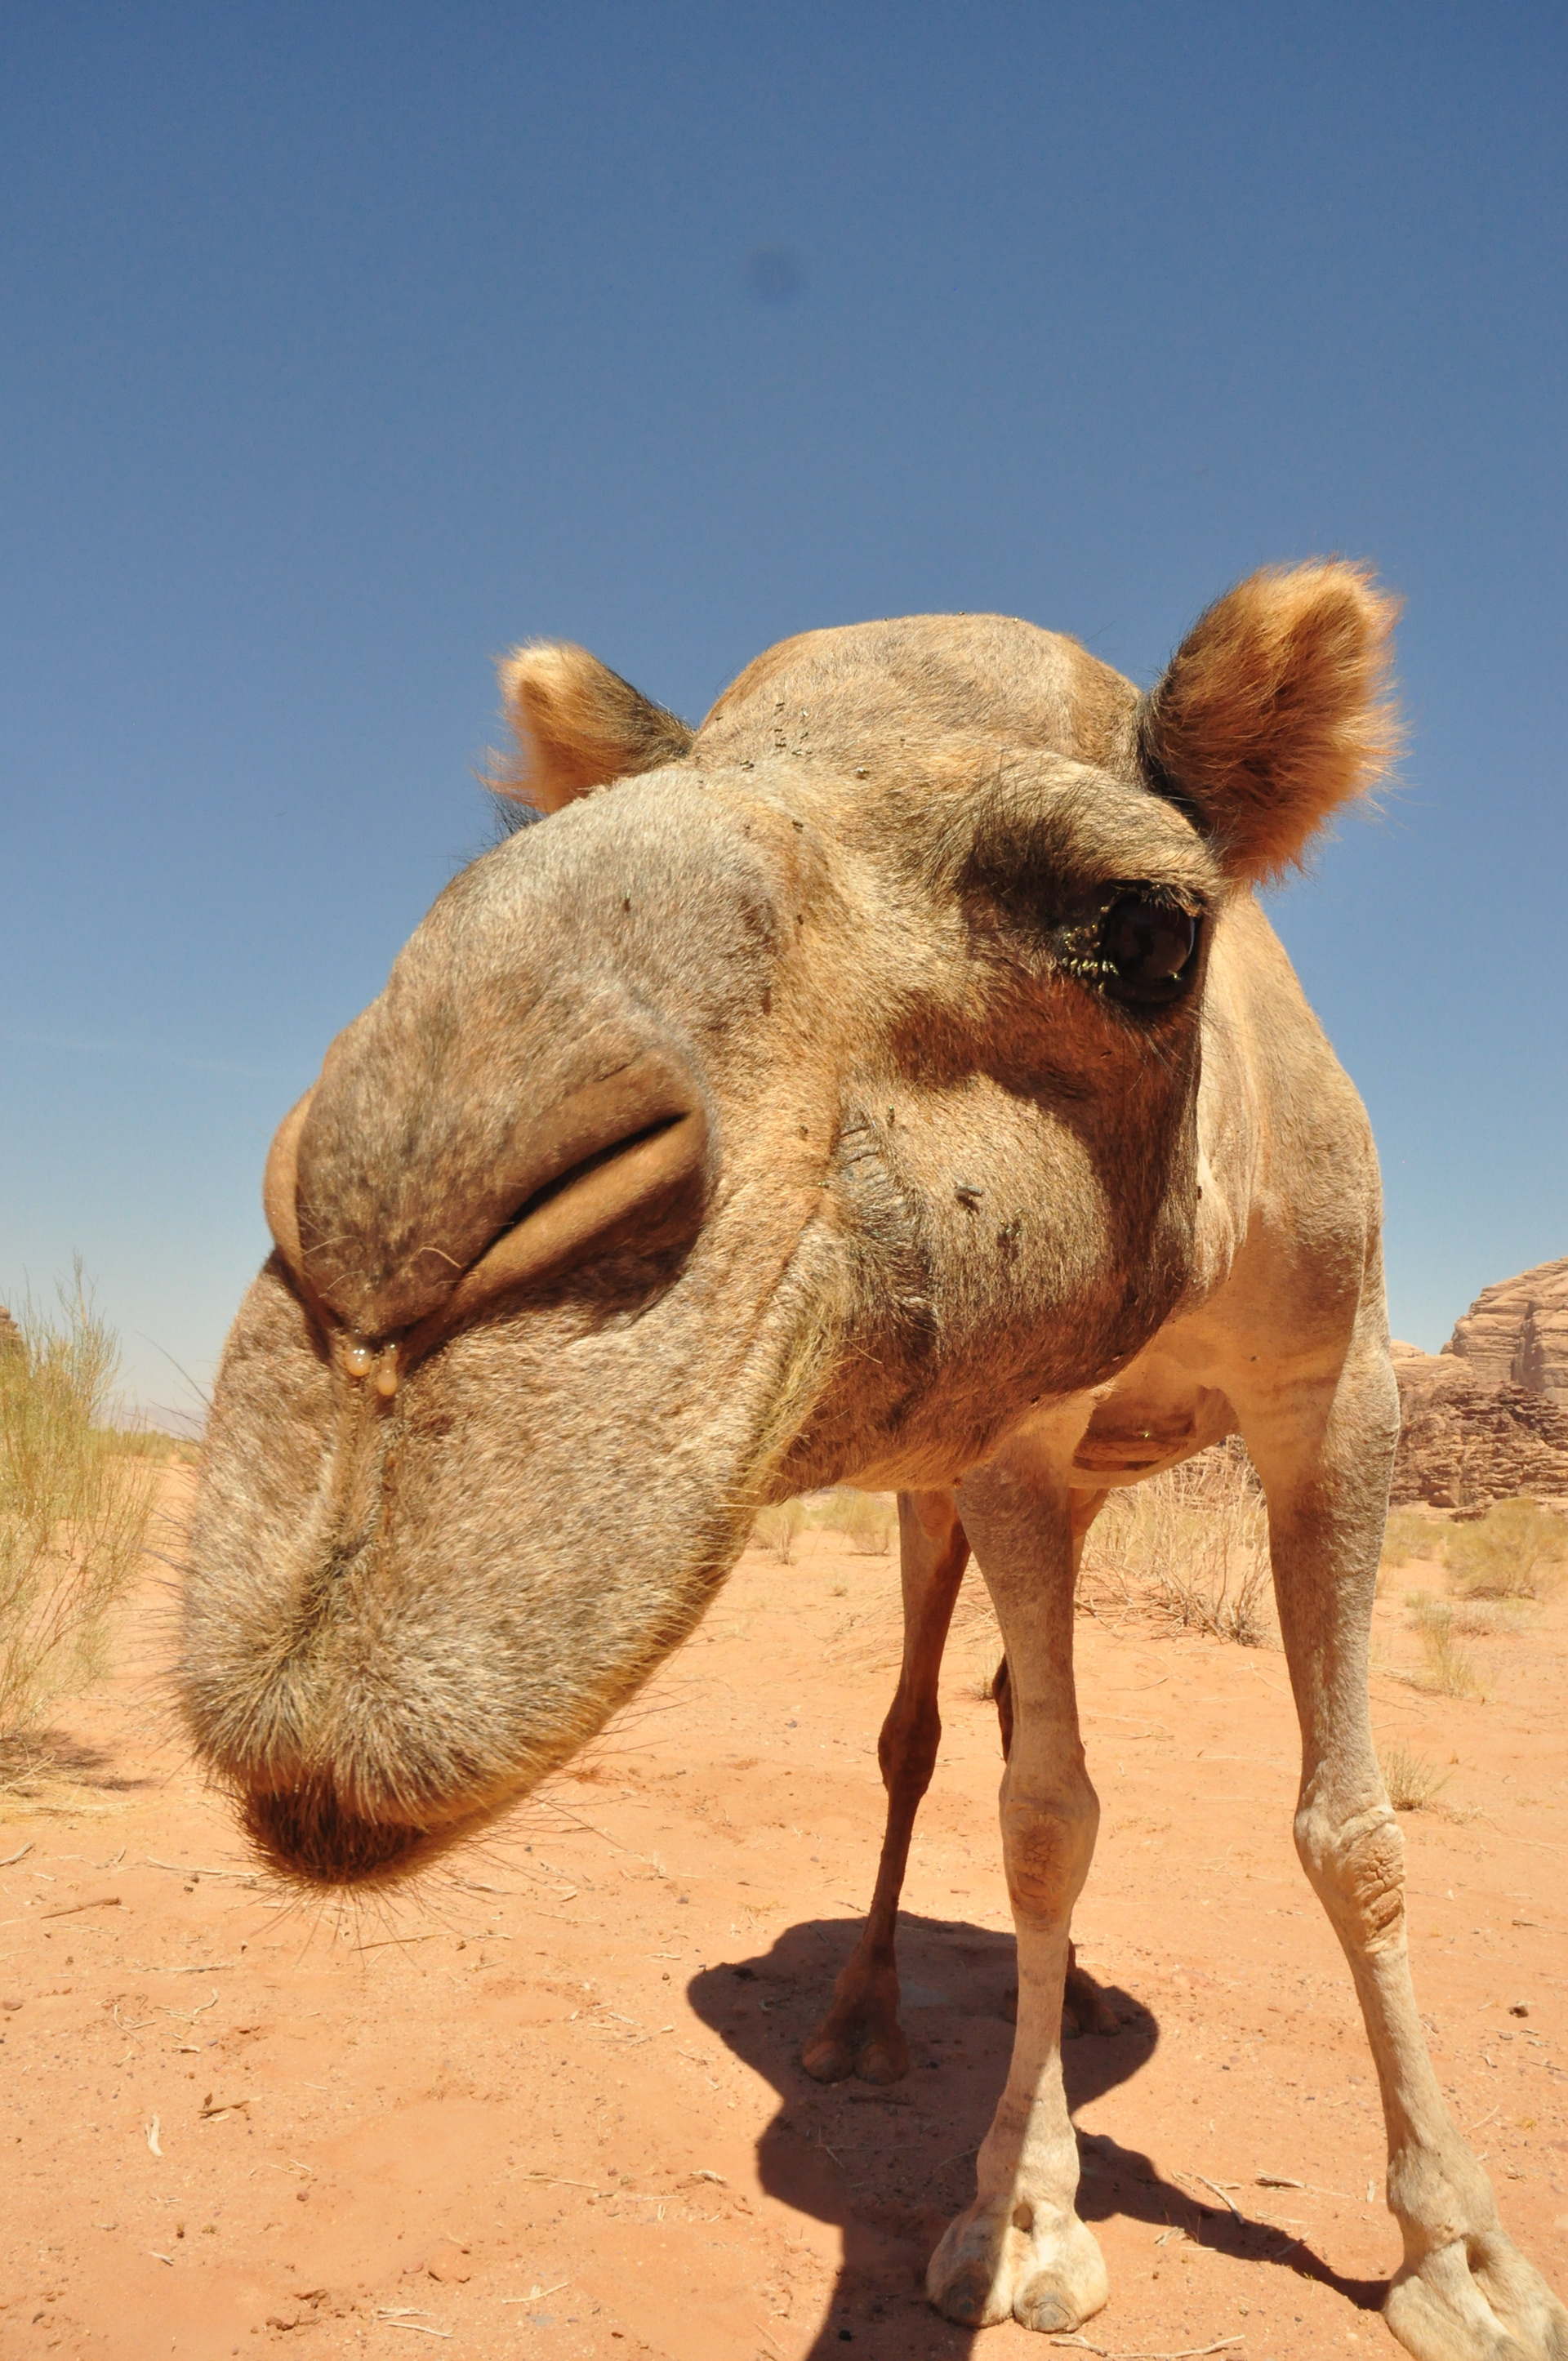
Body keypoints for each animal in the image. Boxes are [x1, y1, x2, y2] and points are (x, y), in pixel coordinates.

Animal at [180, 563, 1567, 2357]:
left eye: (1145, 930)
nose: (391, 1221)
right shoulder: (1009, 1444)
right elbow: (1041, 1813)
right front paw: (1025, 2209)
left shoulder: (1340, 1396)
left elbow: (1355, 1829)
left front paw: (1459, 2250)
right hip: (943, 1489)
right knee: (930, 1738)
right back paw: (863, 2014)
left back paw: (1089, 1994)